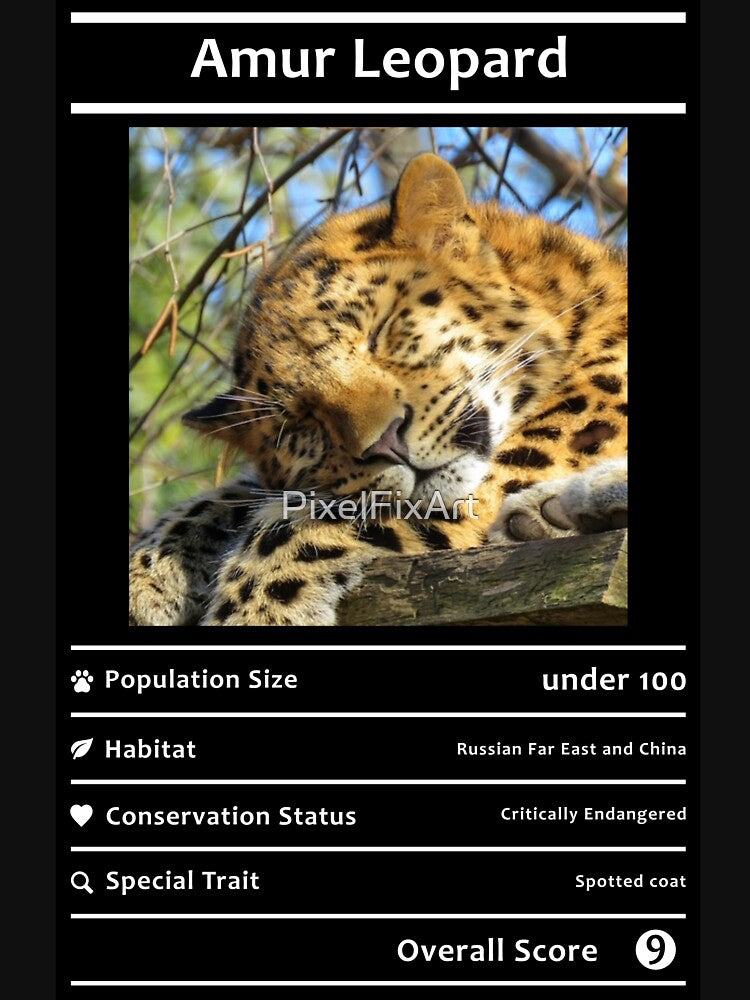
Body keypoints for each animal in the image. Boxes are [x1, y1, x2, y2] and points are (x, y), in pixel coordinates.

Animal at [129, 153, 627, 626]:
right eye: (300, 421)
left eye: (380, 331)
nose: (386, 443)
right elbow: (241, 495)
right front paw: (145, 576)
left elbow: (303, 521)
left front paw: (256, 611)